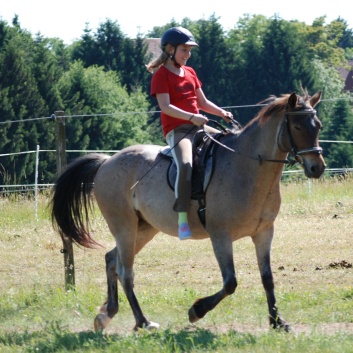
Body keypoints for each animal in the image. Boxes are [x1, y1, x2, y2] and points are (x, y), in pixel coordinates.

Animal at [49, 89, 324, 332]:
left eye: (318, 126)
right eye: (298, 127)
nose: (317, 168)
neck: (248, 167)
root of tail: (107, 162)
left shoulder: (264, 232)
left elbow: (267, 278)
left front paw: (278, 322)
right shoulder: (220, 235)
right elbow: (230, 282)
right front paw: (196, 311)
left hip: (143, 229)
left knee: (111, 260)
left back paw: (107, 315)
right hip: (124, 227)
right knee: (125, 272)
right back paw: (143, 322)